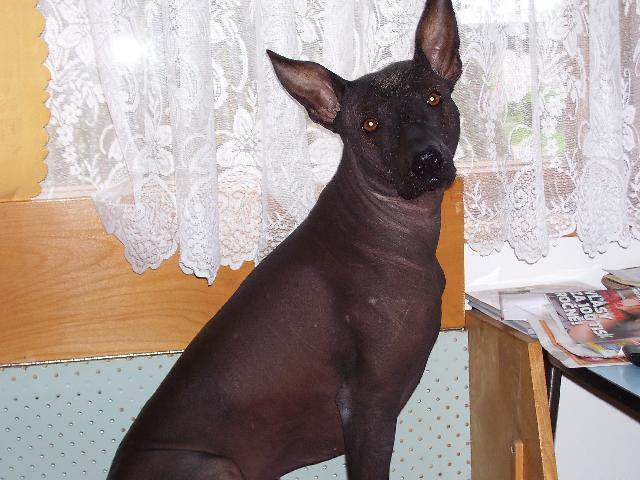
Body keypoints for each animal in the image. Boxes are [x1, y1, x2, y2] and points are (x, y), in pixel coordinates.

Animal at [107, 0, 461, 478]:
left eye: (433, 99)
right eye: (370, 124)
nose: (426, 159)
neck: (390, 226)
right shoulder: (368, 409)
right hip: (217, 466)